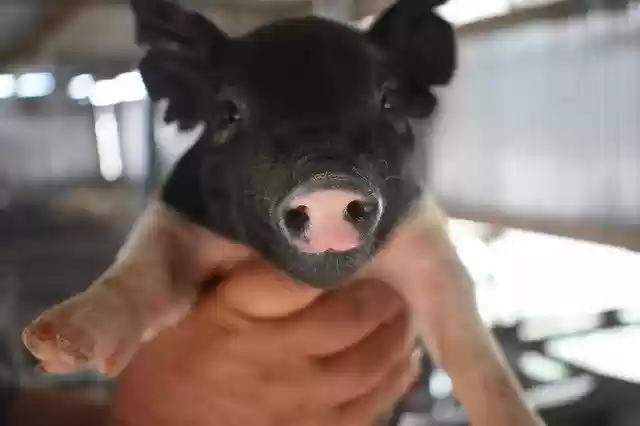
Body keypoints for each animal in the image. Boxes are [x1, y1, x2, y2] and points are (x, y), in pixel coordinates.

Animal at [21, 0, 543, 425]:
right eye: (228, 113)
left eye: (389, 101)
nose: (327, 182)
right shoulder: (176, 214)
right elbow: (147, 268)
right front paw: (50, 346)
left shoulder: (424, 240)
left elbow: (474, 351)